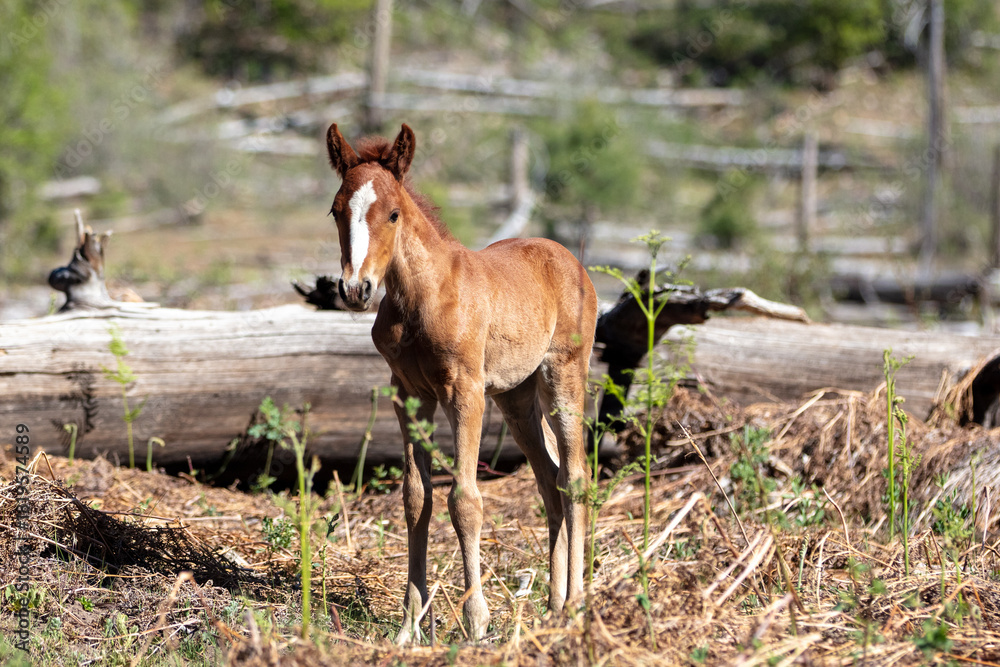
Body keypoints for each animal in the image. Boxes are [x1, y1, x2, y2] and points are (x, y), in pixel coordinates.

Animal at [325, 122, 598, 643]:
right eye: (336, 209)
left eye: (393, 213)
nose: (355, 289)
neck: (421, 297)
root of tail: (568, 257)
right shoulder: (409, 396)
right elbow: (417, 499)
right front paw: (408, 627)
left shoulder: (464, 393)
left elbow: (465, 500)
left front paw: (476, 621)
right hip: (516, 397)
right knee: (549, 479)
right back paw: (552, 606)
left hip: (564, 373)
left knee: (574, 476)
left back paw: (575, 602)